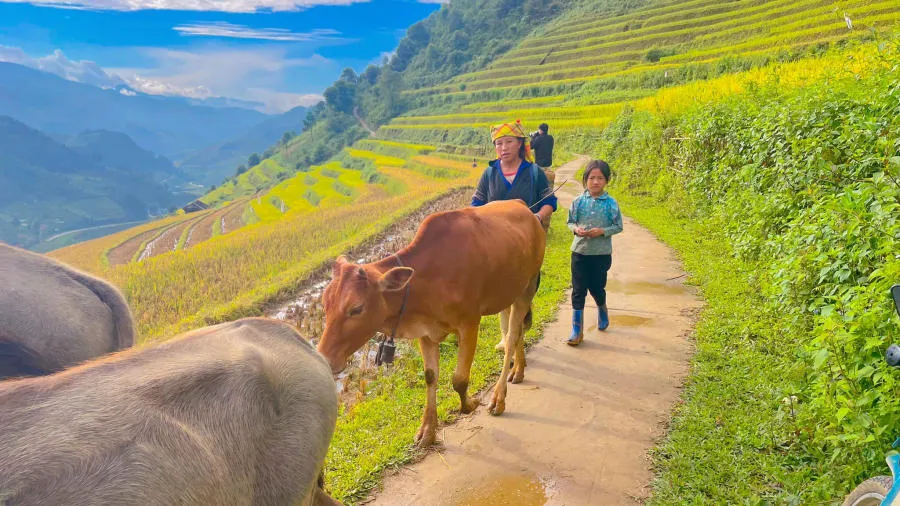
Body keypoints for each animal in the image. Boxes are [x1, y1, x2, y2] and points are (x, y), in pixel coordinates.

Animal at [316, 198, 544, 446]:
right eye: (325, 303)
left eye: (356, 308)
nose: (325, 359)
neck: (426, 280)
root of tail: (523, 206)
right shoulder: (425, 333)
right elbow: (430, 377)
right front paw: (427, 430)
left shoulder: (469, 324)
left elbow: (459, 379)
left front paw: (470, 404)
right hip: (507, 294)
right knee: (516, 332)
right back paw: (518, 370)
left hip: (527, 287)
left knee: (511, 338)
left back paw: (498, 398)